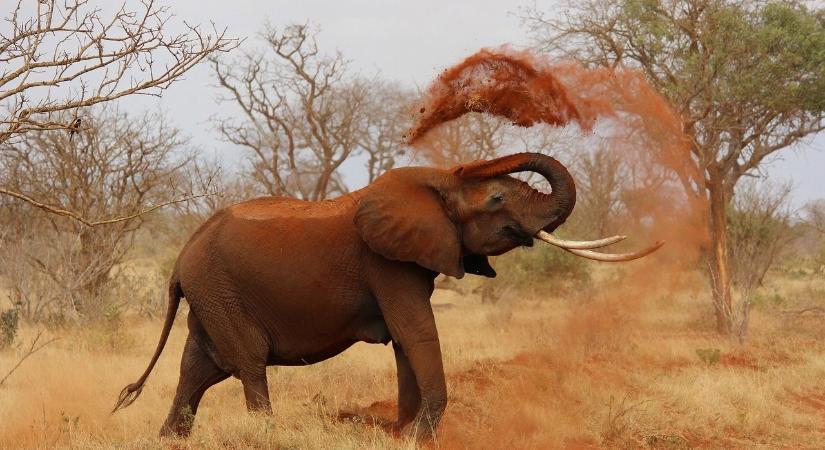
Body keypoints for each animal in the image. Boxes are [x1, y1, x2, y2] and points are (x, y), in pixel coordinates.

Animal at [112, 151, 660, 440]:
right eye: (498, 198)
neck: (436, 183)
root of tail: (181, 258)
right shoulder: (386, 263)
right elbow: (416, 332)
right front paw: (419, 437)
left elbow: (404, 341)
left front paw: (403, 433)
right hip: (220, 290)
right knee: (246, 363)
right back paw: (265, 435)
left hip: (210, 294)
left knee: (198, 369)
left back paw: (169, 441)